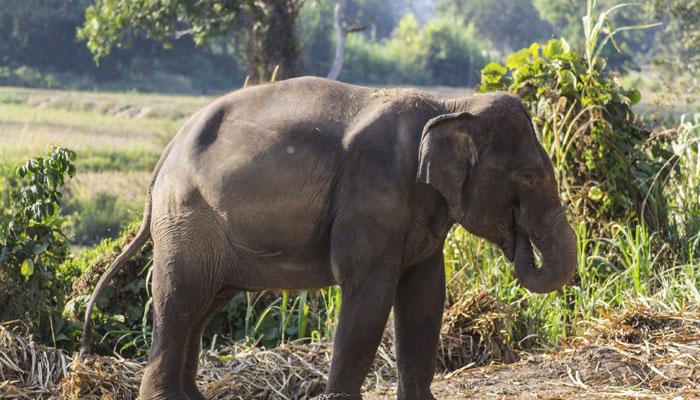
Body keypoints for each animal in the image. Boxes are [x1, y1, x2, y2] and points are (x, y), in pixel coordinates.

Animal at [79, 76, 576, 400]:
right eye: (528, 176)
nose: (519, 243)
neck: (449, 106)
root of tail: (164, 159)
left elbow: (425, 294)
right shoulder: (372, 191)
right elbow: (369, 291)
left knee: (204, 304)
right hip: (187, 219)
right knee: (179, 297)